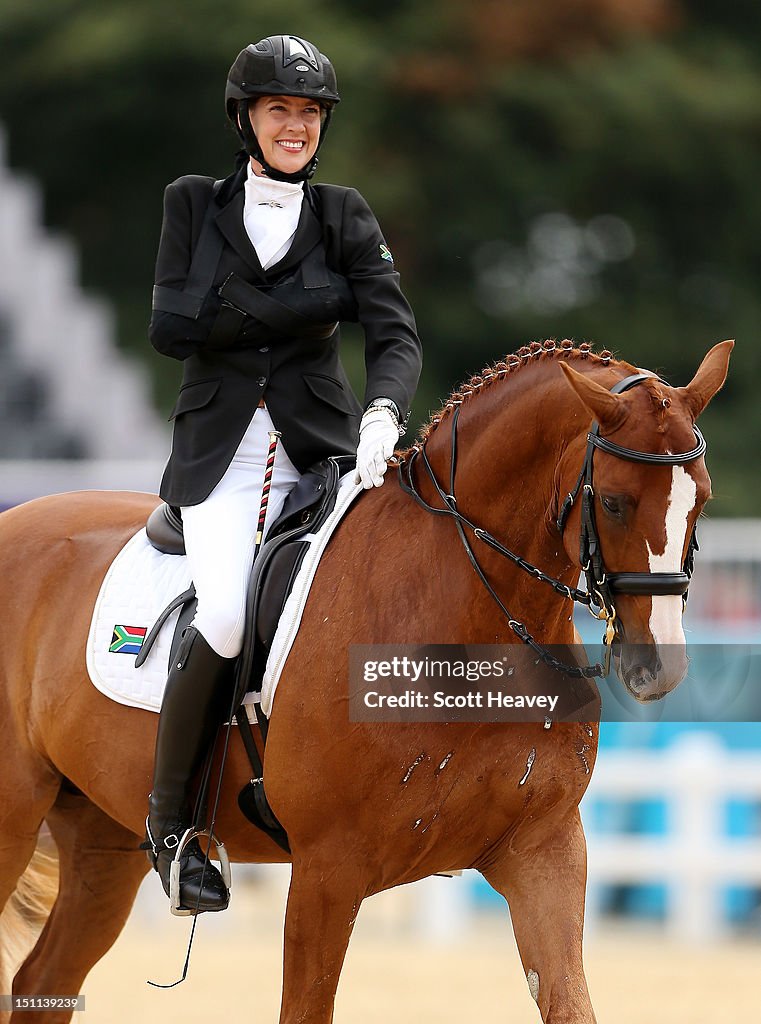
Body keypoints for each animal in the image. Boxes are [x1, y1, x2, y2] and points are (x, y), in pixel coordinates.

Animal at [0, 344, 733, 1024]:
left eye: (700, 499)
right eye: (613, 502)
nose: (658, 667)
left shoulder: (544, 852)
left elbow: (569, 1001)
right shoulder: (327, 874)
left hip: (103, 837)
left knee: (43, 983)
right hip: (17, 821)